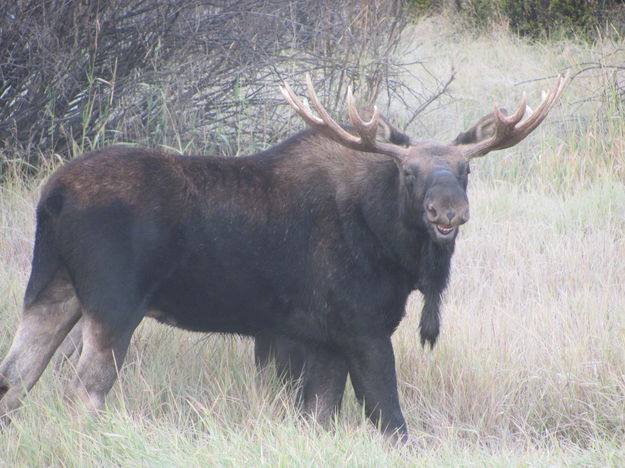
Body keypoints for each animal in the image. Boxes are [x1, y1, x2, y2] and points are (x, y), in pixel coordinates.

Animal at [0, 74, 564, 438]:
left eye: (466, 170)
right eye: (409, 172)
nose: (448, 211)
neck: (395, 250)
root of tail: (52, 196)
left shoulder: (323, 339)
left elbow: (321, 417)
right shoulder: (363, 328)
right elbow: (391, 421)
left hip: (51, 290)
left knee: (15, 378)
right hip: (114, 306)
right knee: (82, 392)